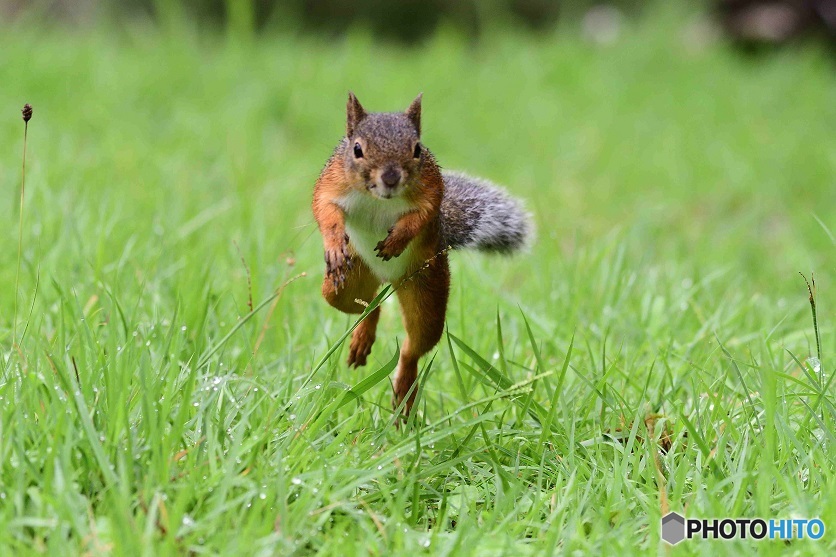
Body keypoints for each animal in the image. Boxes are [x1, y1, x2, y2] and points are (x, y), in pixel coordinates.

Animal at [310, 92, 532, 412]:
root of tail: (388, 280)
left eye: (417, 149)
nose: (391, 178)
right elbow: (324, 210)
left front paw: (397, 240)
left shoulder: (430, 188)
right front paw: (335, 245)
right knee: (368, 304)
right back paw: (363, 335)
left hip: (428, 287)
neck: (378, 197)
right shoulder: (331, 182)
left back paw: (404, 389)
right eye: (357, 149)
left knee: (413, 347)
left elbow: (422, 215)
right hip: (345, 284)